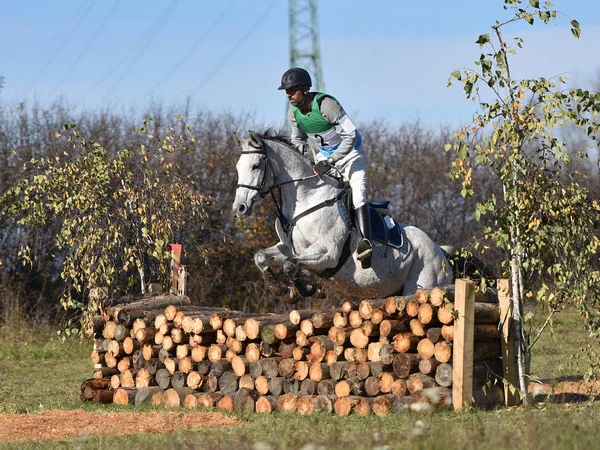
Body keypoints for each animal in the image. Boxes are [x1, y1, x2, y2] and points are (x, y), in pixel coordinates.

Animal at [232, 129, 452, 298]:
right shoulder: (288, 248)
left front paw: (308, 289)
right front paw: (278, 288)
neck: (307, 199)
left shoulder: (327, 253)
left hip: (422, 284)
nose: (239, 207)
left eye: (255, 166)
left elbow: (290, 264)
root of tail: (442, 254)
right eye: (238, 167)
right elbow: (261, 256)